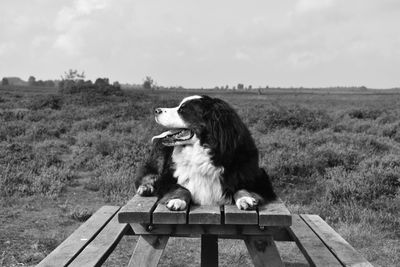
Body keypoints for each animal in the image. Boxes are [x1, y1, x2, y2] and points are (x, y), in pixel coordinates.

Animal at [134, 96, 276, 211]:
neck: (204, 152)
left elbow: (242, 187)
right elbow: (181, 188)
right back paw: (145, 188)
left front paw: (245, 198)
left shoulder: (258, 178)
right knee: (149, 175)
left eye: (182, 110)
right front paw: (177, 200)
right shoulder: (168, 177)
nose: (156, 110)